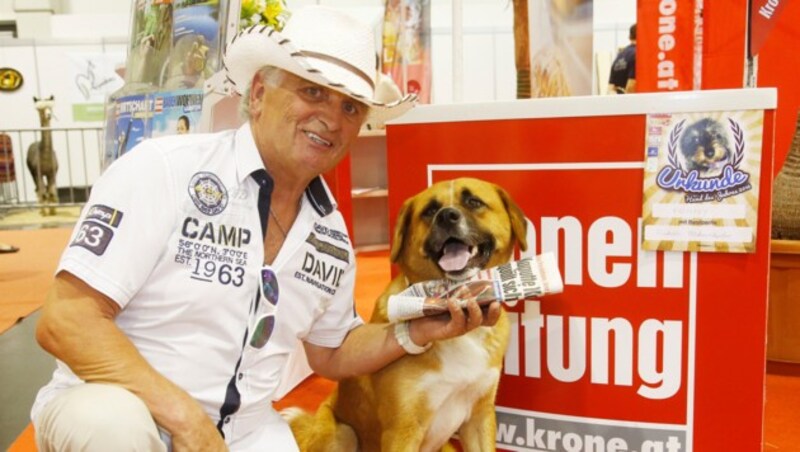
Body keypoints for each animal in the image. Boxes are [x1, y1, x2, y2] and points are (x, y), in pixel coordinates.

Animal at [284, 177, 528, 452]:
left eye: (474, 201)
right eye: (430, 211)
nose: (446, 217)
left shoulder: (479, 417)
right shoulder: (402, 430)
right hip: (342, 433)